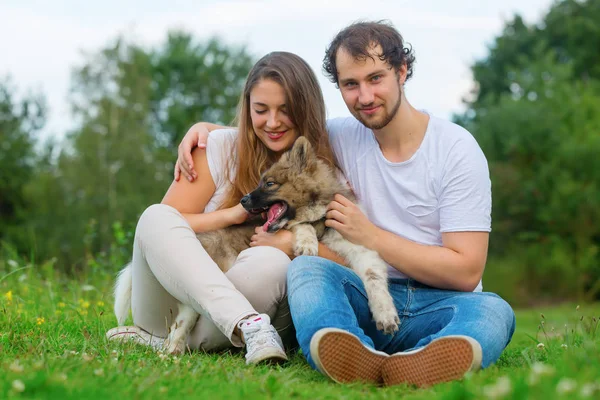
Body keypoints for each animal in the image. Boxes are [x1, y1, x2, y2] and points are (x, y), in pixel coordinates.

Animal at [115, 137, 400, 354]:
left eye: (269, 183)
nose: (243, 200)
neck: (320, 219)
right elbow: (301, 225)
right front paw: (307, 243)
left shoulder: (360, 246)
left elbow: (374, 278)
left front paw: (386, 315)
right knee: (182, 321)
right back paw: (172, 350)